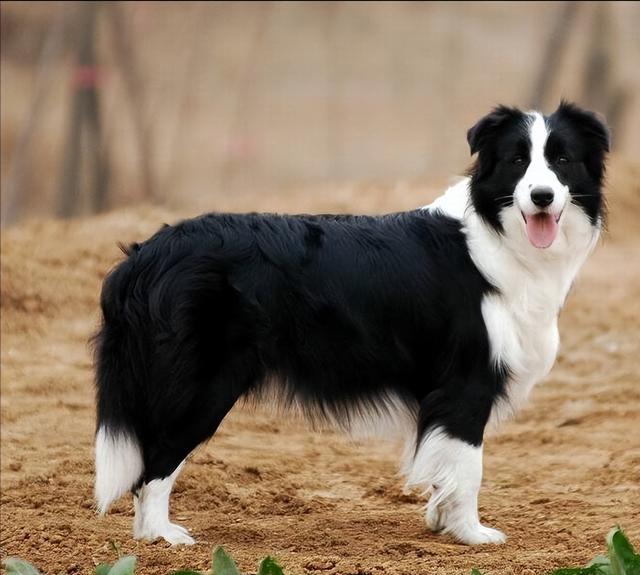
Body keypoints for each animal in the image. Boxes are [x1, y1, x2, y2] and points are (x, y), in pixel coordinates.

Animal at [94, 102, 608, 545]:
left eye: (561, 159)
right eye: (517, 161)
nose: (541, 196)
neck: (498, 234)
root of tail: (144, 254)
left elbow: (444, 466)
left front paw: (441, 523)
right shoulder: (467, 382)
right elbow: (467, 467)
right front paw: (471, 535)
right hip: (205, 383)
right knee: (156, 461)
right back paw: (161, 536)